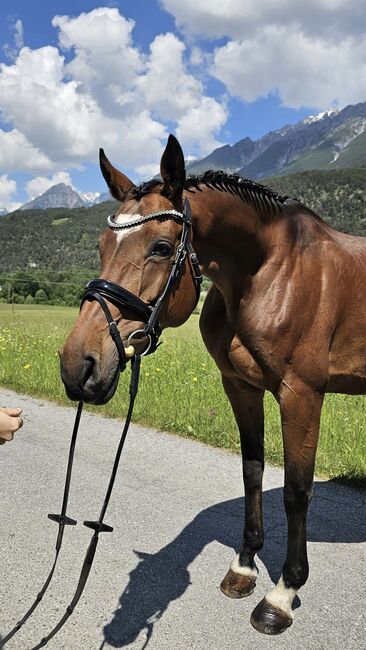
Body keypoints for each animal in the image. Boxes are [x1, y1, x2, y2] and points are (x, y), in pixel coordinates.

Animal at [60, 133, 366, 632]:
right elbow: (253, 471)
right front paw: (244, 568)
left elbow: (297, 492)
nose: (78, 365)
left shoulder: (302, 396)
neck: (271, 271)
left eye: (161, 247)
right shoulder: (240, 387)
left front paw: (283, 593)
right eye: (104, 245)